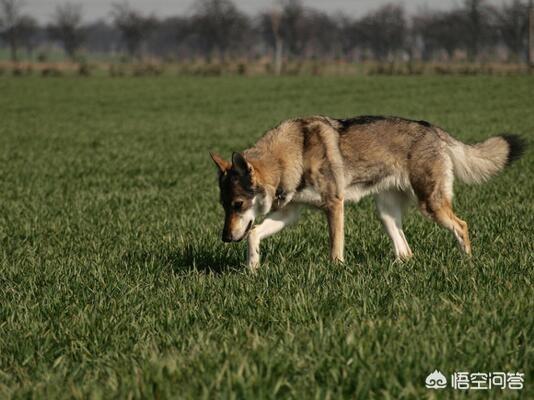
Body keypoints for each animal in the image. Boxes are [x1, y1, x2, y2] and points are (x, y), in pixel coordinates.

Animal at [210, 116, 528, 272]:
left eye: (238, 204)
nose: (224, 238)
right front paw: (252, 268)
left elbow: (335, 248)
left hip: (431, 206)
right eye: (224, 206)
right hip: (385, 213)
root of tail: (434, 130)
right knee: (406, 252)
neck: (292, 153)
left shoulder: (333, 206)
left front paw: (336, 273)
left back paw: (467, 264)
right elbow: (254, 233)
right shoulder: (290, 213)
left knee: (461, 226)